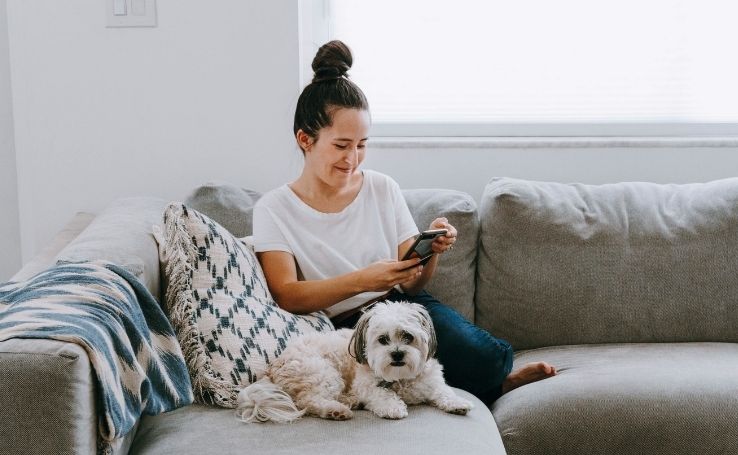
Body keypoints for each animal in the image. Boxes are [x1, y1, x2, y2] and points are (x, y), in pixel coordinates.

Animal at [236, 302, 472, 422]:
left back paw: (349, 402)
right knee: (308, 400)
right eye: (383, 339)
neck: (400, 378)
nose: (397, 354)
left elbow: (444, 391)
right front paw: (392, 407)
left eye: (408, 336)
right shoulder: (366, 385)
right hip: (324, 372)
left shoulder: (432, 382)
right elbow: (381, 394)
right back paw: (336, 410)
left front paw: (458, 403)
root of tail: (273, 367)